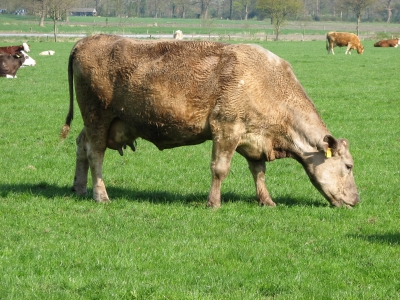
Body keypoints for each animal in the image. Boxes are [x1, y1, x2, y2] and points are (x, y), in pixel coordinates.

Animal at [60, 34, 360, 207]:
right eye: (348, 166)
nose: (356, 199)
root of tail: (88, 39)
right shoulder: (227, 129)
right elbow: (220, 169)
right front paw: (213, 202)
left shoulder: (253, 137)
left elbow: (258, 171)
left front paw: (267, 201)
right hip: (97, 116)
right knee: (95, 154)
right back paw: (101, 195)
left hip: (100, 123)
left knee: (81, 145)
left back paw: (80, 187)